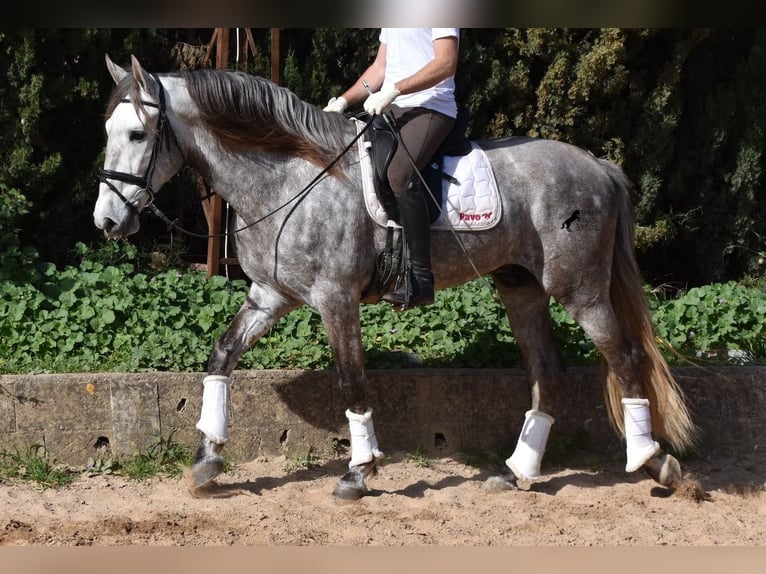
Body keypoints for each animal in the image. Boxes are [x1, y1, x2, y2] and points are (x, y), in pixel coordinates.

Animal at [94, 56, 696, 502]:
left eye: (137, 133)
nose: (107, 221)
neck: (288, 177)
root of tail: (598, 166)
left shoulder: (335, 299)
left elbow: (351, 381)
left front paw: (359, 471)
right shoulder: (271, 296)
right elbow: (221, 356)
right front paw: (207, 459)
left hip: (580, 290)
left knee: (624, 357)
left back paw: (652, 461)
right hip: (520, 285)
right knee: (548, 369)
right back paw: (518, 470)